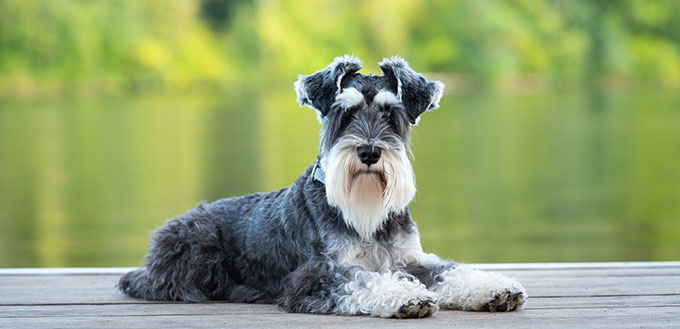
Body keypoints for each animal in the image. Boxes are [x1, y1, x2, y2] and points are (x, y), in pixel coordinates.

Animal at [119, 55, 528, 316]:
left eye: (390, 115)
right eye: (344, 114)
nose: (368, 152)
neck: (364, 212)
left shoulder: (409, 259)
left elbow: (450, 270)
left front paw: (494, 288)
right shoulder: (316, 274)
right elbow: (360, 279)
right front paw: (402, 295)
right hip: (196, 244)